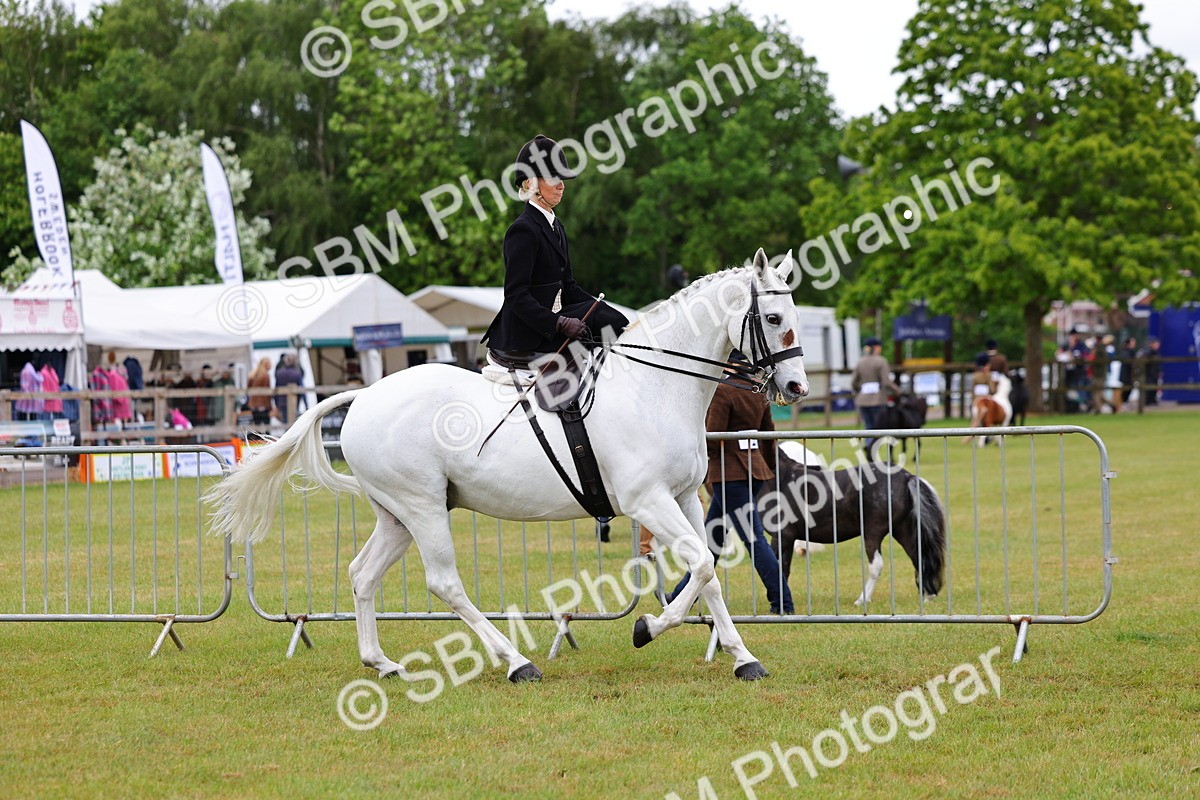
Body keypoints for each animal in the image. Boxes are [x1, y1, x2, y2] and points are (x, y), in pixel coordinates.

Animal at [207, 250, 810, 683]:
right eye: (773, 316)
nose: (796, 388)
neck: (654, 386)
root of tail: (365, 395)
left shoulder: (684, 497)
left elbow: (710, 568)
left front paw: (741, 657)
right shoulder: (648, 501)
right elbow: (703, 567)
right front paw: (646, 627)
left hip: (397, 514)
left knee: (362, 574)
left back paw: (382, 663)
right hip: (423, 508)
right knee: (444, 583)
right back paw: (517, 662)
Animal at [765, 447, 946, 605]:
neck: (781, 479)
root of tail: (906, 476)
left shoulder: (781, 536)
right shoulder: (788, 539)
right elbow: (783, 569)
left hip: (873, 532)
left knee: (876, 566)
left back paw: (861, 600)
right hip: (903, 530)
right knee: (919, 558)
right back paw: (928, 598)